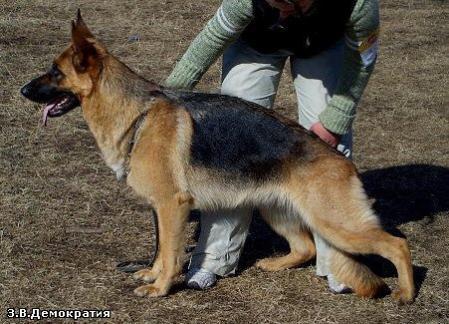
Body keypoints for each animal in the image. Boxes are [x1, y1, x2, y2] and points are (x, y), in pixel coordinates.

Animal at [20, 10, 412, 304]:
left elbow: (170, 253)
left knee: (397, 244)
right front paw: (151, 273)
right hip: (276, 209)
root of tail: (342, 160)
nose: (22, 90)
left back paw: (406, 294)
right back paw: (275, 265)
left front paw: (160, 288)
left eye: (55, 72)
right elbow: (161, 249)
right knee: (305, 248)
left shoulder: (171, 205)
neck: (136, 114)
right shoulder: (162, 208)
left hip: (337, 224)